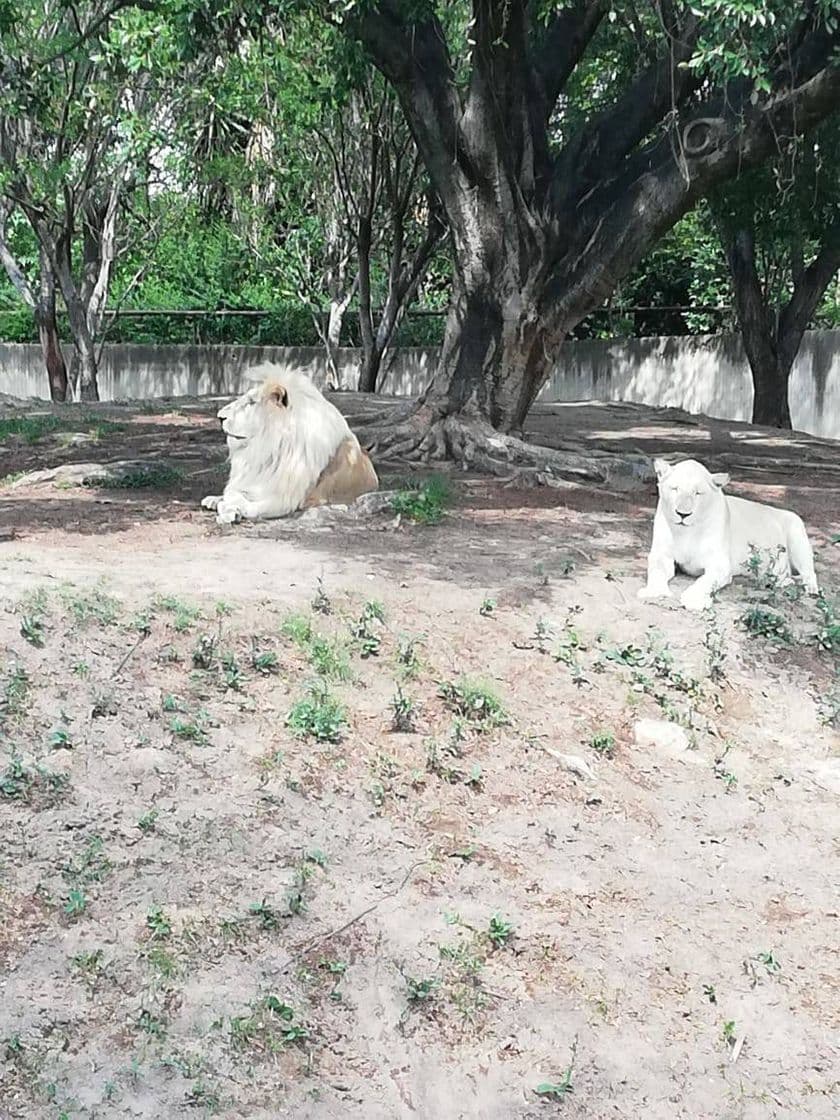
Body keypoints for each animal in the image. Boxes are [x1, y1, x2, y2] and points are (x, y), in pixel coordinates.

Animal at [202, 365, 378, 526]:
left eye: (251, 402)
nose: (219, 417)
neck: (268, 449)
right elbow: (233, 492)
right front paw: (225, 507)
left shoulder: (287, 499)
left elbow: (249, 504)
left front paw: (231, 510)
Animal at [640, 456, 819, 613]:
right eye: (675, 489)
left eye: (698, 493)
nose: (683, 514)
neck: (686, 532)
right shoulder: (661, 555)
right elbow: (656, 571)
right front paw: (654, 591)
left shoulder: (720, 564)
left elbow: (705, 581)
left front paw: (695, 600)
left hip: (797, 532)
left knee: (809, 573)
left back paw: (808, 588)